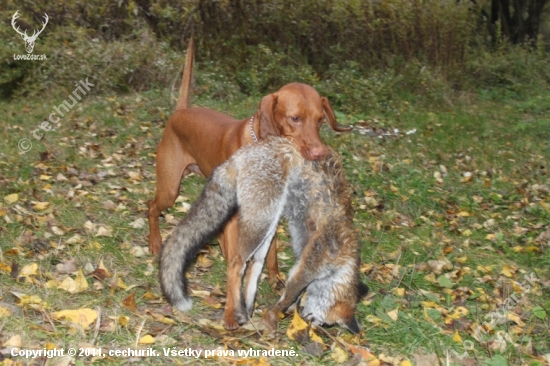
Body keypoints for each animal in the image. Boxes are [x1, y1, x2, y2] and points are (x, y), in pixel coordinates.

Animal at [148, 38, 354, 330]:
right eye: (294, 118)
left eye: (321, 120)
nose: (319, 153)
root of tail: (181, 111)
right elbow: (237, 264)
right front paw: (232, 311)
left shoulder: (271, 212)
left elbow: (271, 252)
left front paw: (275, 277)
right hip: (170, 189)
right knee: (151, 206)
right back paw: (155, 242)